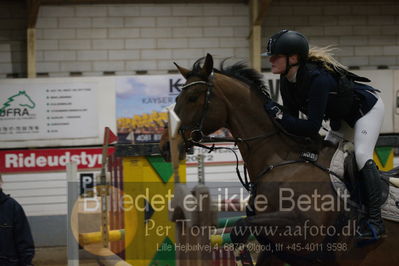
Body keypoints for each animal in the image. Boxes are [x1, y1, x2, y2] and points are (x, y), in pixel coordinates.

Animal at [160, 53, 399, 264]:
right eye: (177, 98)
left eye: (192, 98)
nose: (164, 146)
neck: (282, 161)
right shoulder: (276, 251)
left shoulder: (304, 227)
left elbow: (241, 226)